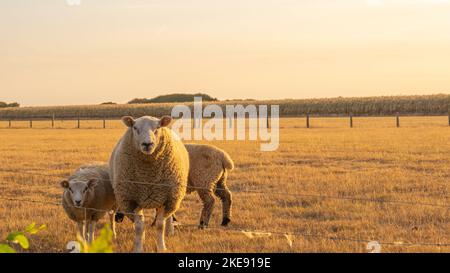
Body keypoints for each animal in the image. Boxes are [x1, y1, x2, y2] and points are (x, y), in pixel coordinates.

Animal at [111, 114, 191, 251]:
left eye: (157, 128)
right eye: (135, 128)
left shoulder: (165, 198)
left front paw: (161, 247)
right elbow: (139, 227)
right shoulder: (133, 200)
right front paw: (138, 248)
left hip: (170, 198)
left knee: (168, 217)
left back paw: (169, 231)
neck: (148, 176)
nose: (147, 144)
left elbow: (160, 225)